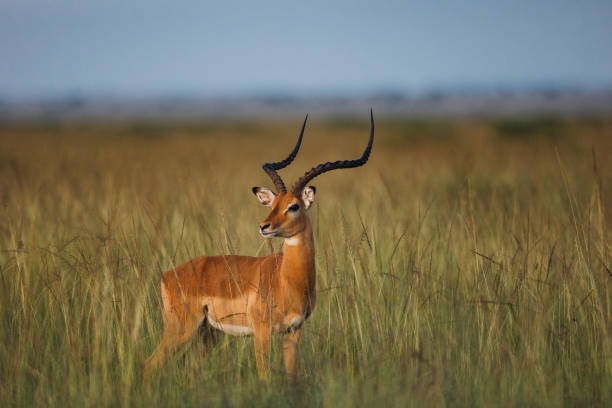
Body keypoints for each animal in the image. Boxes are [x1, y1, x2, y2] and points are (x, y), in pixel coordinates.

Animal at [145, 110, 372, 380]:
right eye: (273, 204)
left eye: (293, 206)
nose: (264, 226)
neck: (288, 279)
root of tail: (168, 274)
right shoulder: (262, 331)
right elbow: (264, 375)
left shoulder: (293, 331)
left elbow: (291, 375)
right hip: (182, 328)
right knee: (149, 364)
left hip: (208, 333)